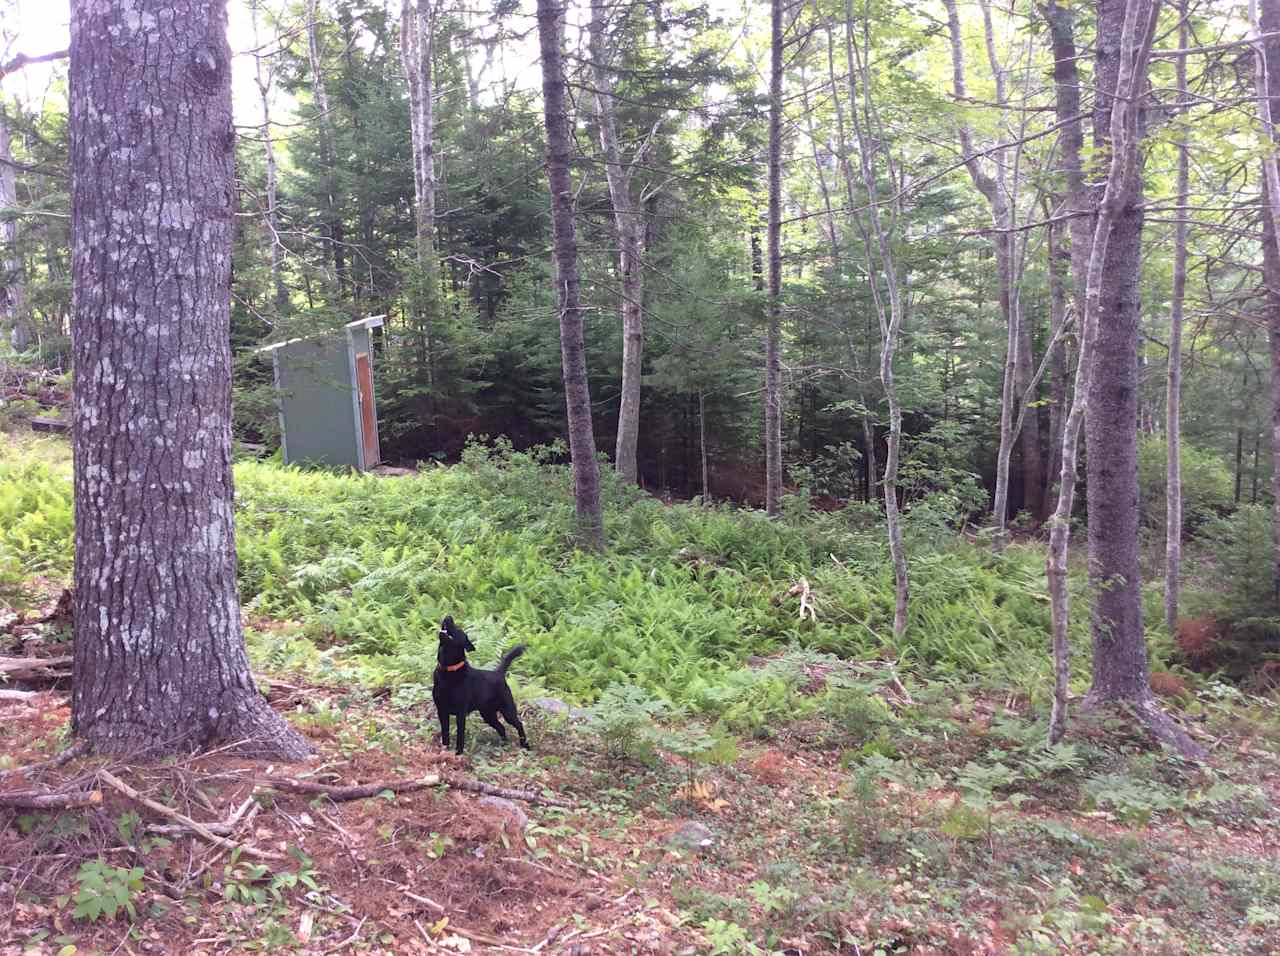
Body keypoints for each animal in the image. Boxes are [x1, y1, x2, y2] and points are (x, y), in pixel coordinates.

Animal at [432, 616, 527, 757]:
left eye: (458, 629)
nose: (448, 616)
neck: (449, 670)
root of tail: (498, 673)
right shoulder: (441, 711)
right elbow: (445, 733)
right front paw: (445, 750)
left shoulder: (460, 713)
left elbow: (460, 736)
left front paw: (458, 753)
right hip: (488, 714)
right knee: (501, 727)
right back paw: (504, 744)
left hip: (507, 711)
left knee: (519, 724)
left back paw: (525, 745)